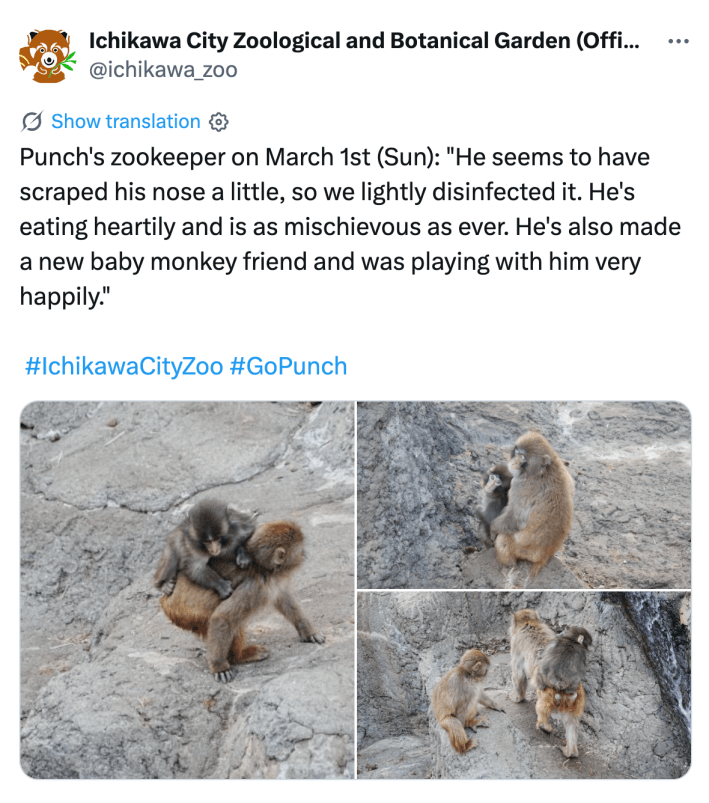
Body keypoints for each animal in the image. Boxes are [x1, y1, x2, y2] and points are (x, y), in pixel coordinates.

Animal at [159, 520, 324, 682]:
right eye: (300, 550)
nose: (305, 554)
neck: (262, 567)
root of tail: (165, 600)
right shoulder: (255, 588)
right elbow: (222, 618)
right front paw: (219, 667)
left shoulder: (272, 582)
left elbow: (283, 597)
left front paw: (307, 631)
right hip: (186, 614)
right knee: (231, 622)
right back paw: (238, 657)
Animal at [490, 431, 574, 578]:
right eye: (517, 452)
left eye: (523, 457)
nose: (514, 462)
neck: (541, 471)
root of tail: (544, 556)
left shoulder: (520, 485)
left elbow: (515, 518)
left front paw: (492, 528)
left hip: (521, 550)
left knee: (503, 542)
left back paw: (508, 564)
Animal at [508, 609, 591, 758]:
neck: (530, 623)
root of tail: (564, 687)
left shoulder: (516, 644)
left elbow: (519, 675)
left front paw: (517, 698)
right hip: (577, 700)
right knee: (571, 722)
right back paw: (570, 751)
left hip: (547, 693)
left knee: (541, 707)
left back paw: (544, 726)